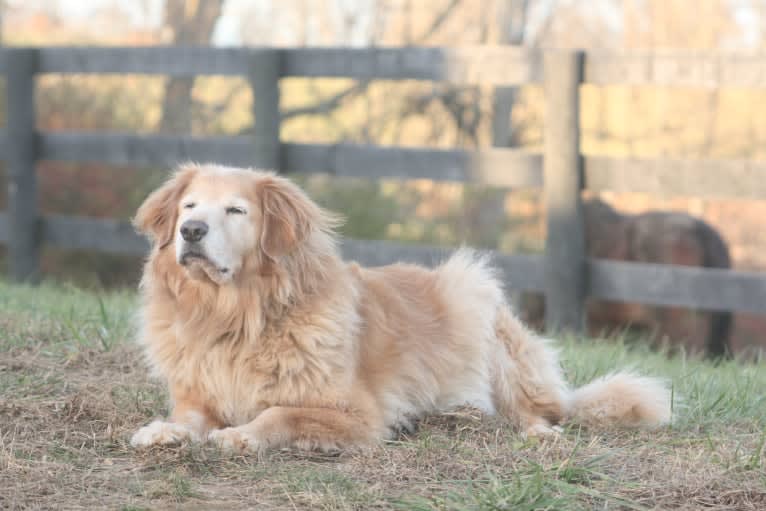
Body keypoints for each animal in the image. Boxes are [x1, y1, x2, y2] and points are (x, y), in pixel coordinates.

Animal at [130, 163, 672, 452]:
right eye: (189, 207)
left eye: (236, 210)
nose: (191, 232)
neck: (235, 318)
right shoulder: (200, 395)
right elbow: (189, 419)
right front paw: (165, 430)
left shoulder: (358, 414)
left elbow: (280, 414)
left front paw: (241, 435)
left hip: (472, 293)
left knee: (539, 411)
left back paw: (537, 432)